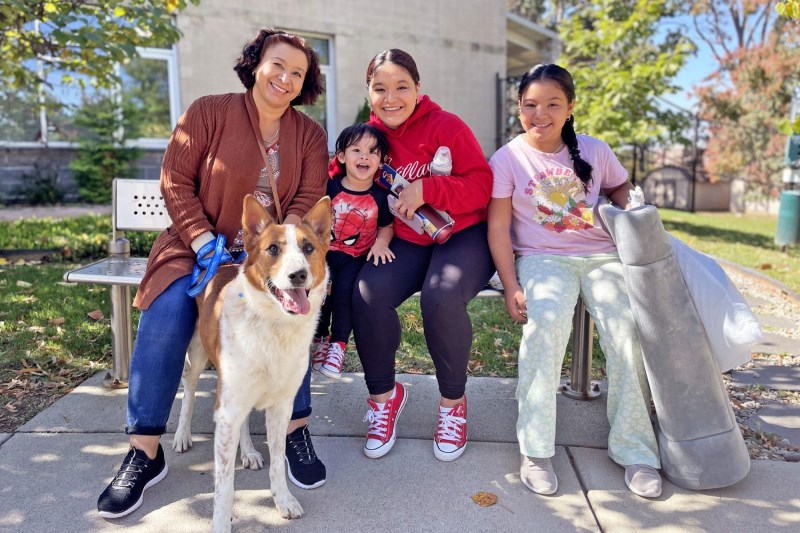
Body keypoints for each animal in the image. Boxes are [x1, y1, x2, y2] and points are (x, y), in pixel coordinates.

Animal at [173, 193, 330, 528]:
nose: (298, 275)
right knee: (189, 391)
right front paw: (220, 524)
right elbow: (225, 485)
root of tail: (221, 262)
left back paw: (247, 451)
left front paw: (283, 500)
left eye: (309, 248)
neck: (274, 325)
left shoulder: (281, 406)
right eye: (273, 249)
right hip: (197, 355)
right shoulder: (227, 411)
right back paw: (181, 436)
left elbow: (278, 463)